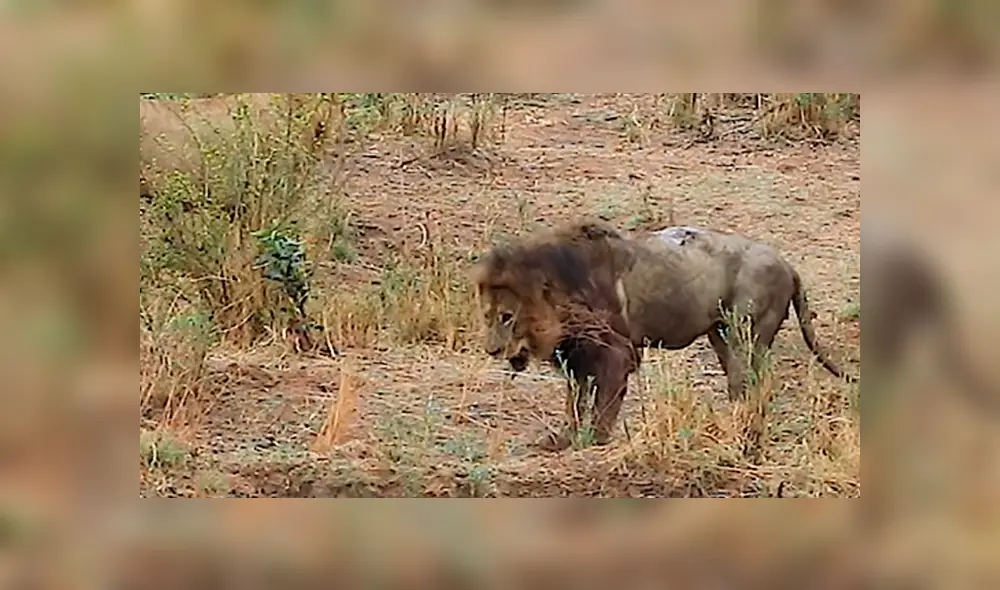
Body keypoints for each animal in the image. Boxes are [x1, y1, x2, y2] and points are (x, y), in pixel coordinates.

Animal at [474, 220, 856, 451]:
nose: (492, 350)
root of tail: (787, 264)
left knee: (757, 382)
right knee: (741, 383)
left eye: (508, 317)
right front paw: (565, 437)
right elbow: (576, 403)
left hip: (747, 331)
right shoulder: (576, 358)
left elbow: (603, 404)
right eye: (487, 316)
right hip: (721, 335)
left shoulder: (616, 353)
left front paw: (595, 440)